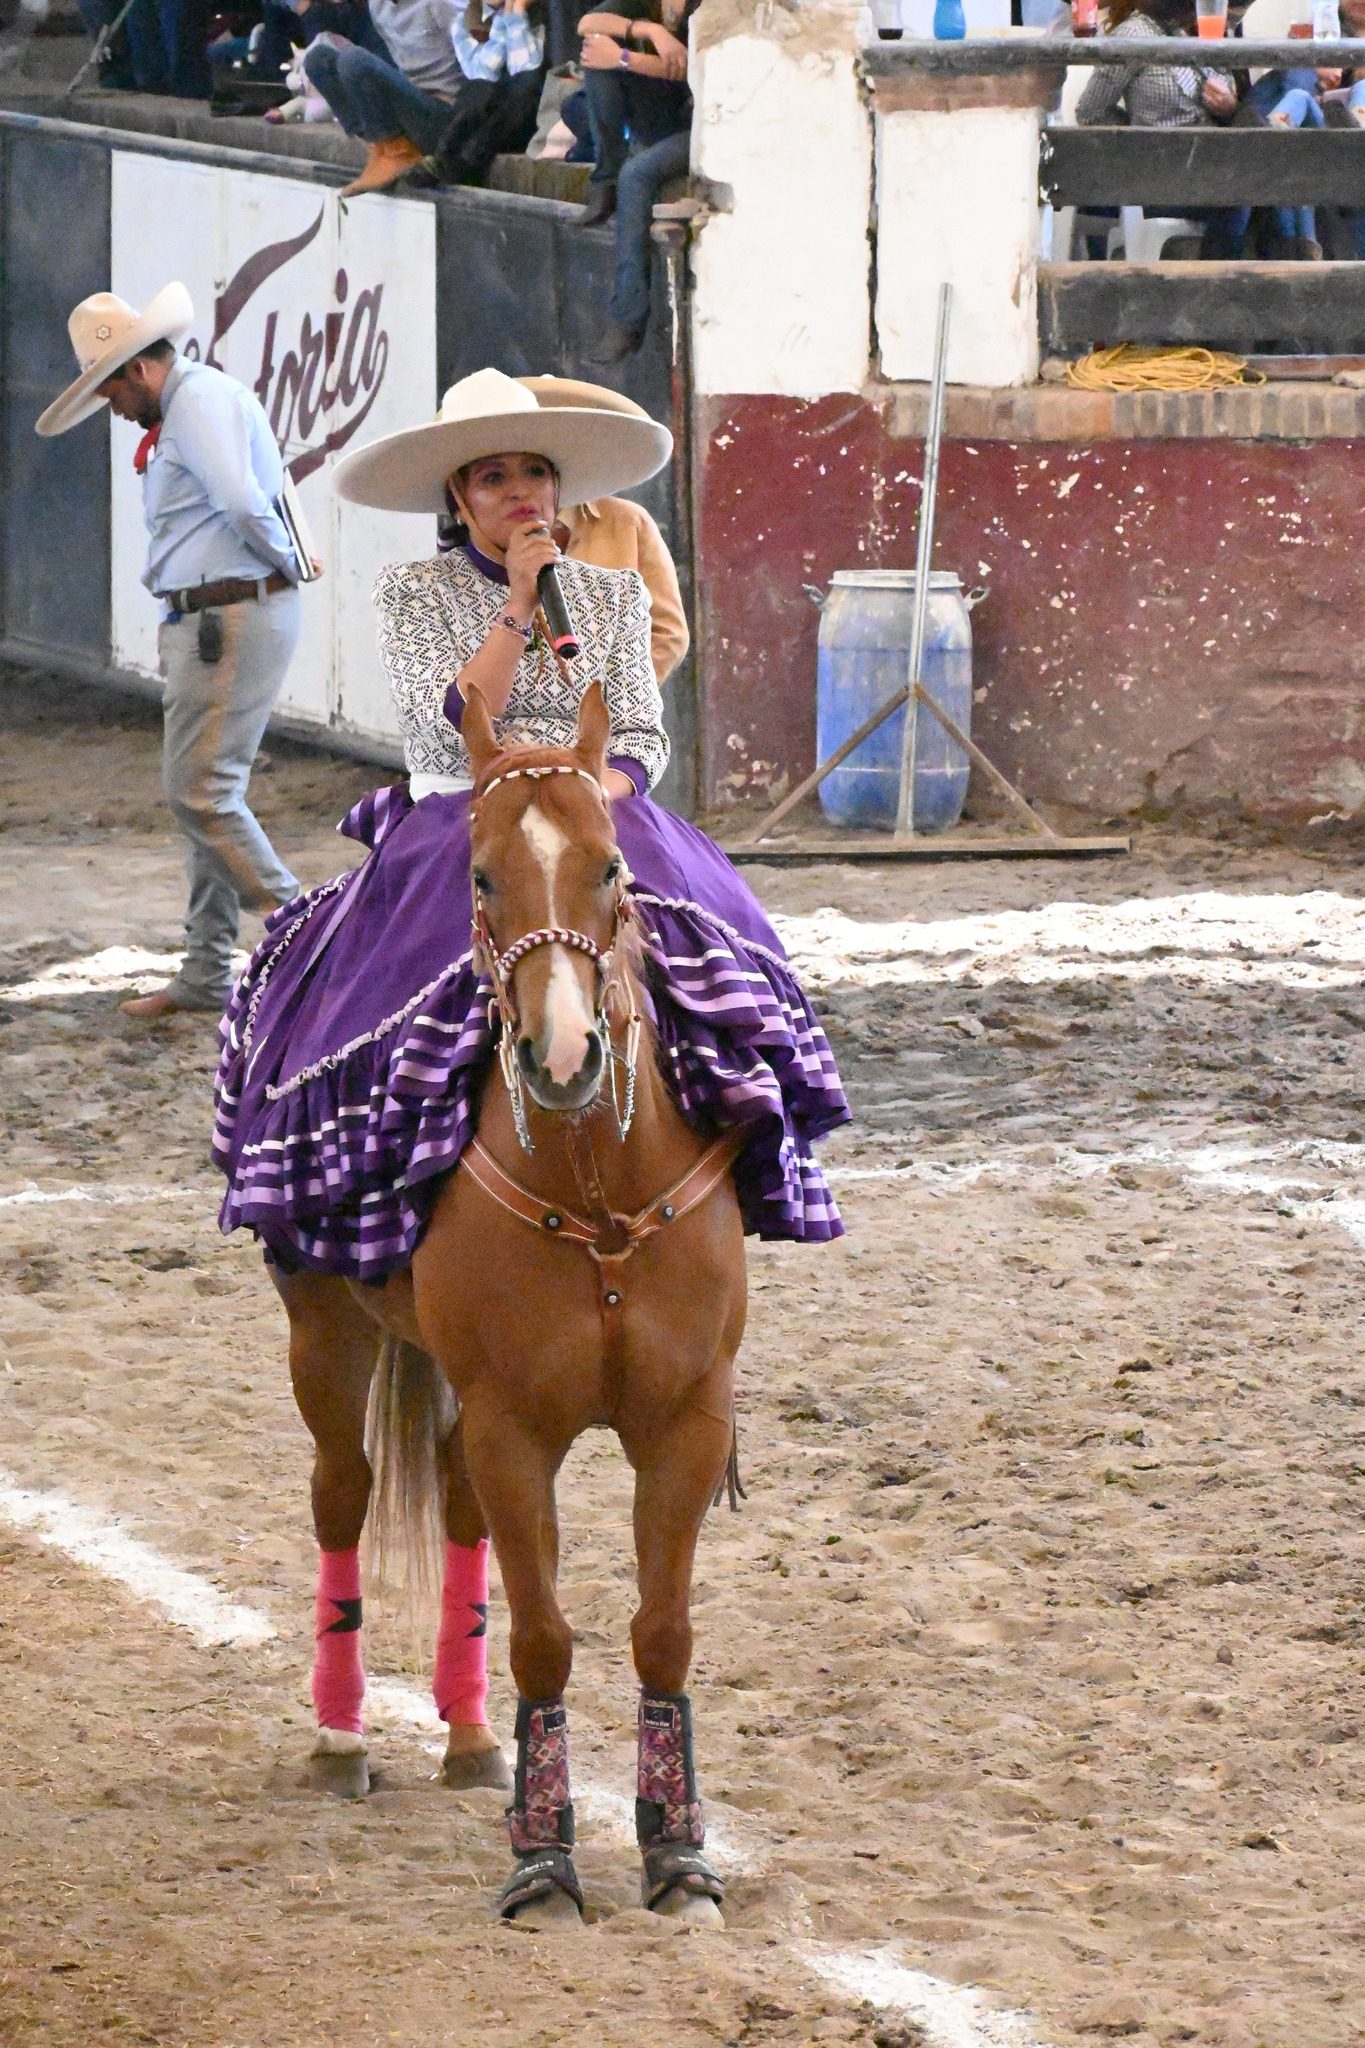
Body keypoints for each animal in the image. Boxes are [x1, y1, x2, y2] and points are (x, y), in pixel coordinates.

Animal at [270, 684, 749, 1916]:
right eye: (480, 877)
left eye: (613, 867)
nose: (565, 1054)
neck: (595, 1191)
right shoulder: (512, 1424)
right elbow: (543, 1638)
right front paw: (543, 1856)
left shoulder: (686, 1418)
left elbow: (662, 1632)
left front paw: (678, 1852)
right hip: (322, 1330)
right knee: (341, 1494)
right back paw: (342, 1739)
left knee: (453, 1509)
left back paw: (472, 1737)